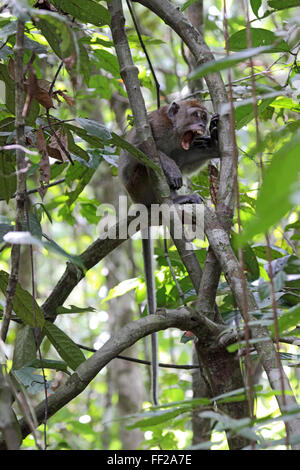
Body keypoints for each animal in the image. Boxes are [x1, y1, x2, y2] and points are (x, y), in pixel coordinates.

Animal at [118, 99, 219, 404]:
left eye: (204, 117)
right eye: (195, 114)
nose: (201, 125)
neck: (175, 133)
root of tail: (140, 204)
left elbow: (189, 160)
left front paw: (215, 141)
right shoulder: (153, 126)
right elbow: (136, 152)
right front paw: (170, 165)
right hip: (140, 188)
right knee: (143, 169)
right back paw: (175, 198)